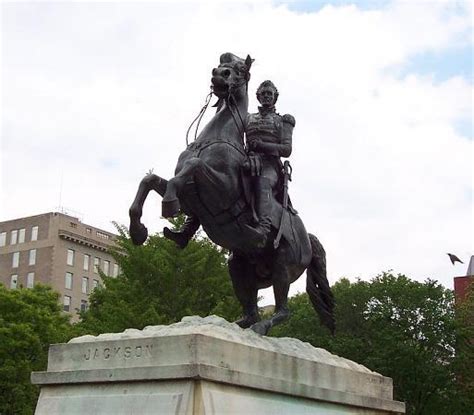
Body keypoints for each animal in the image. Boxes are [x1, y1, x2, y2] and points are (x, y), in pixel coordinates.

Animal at [128, 52, 332, 338]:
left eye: (241, 69)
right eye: (221, 63)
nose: (218, 75)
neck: (215, 138)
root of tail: (308, 239)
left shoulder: (220, 189)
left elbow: (194, 166)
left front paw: (168, 203)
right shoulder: (190, 199)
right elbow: (149, 181)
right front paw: (138, 231)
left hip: (282, 267)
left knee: (283, 310)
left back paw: (261, 326)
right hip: (238, 266)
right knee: (251, 308)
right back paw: (236, 325)